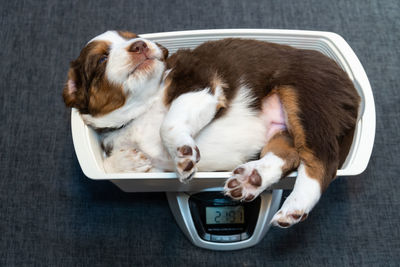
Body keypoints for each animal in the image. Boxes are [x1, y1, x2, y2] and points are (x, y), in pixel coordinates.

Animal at [62, 30, 360, 228]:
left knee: (321, 161)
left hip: (305, 99)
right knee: (290, 155)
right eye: (101, 60)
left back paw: (294, 207)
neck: (142, 109)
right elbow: (107, 162)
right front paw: (131, 162)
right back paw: (250, 180)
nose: (140, 44)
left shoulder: (202, 84)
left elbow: (170, 122)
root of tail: (355, 90)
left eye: (131, 37)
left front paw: (183, 154)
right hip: (286, 126)